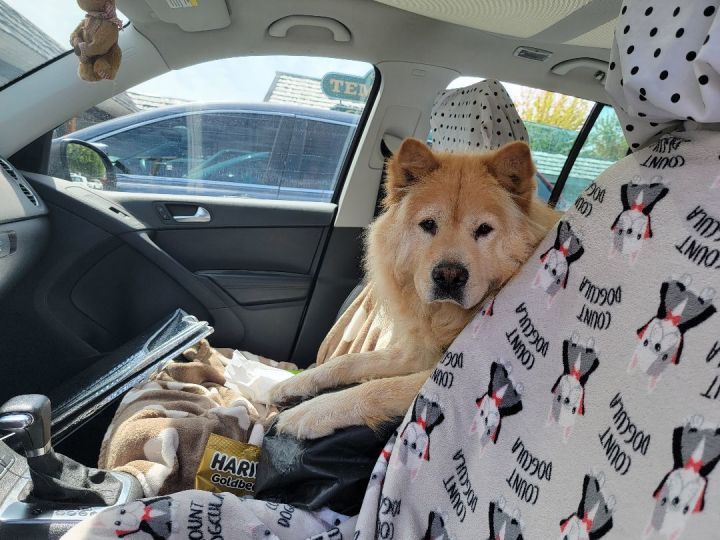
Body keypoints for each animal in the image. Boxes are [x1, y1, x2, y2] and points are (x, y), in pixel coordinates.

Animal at [268, 137, 556, 436]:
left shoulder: (450, 376)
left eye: (484, 229)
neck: (448, 318)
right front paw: (292, 385)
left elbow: (380, 388)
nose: (449, 276)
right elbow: (349, 361)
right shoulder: (420, 353)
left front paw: (311, 411)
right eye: (428, 225)